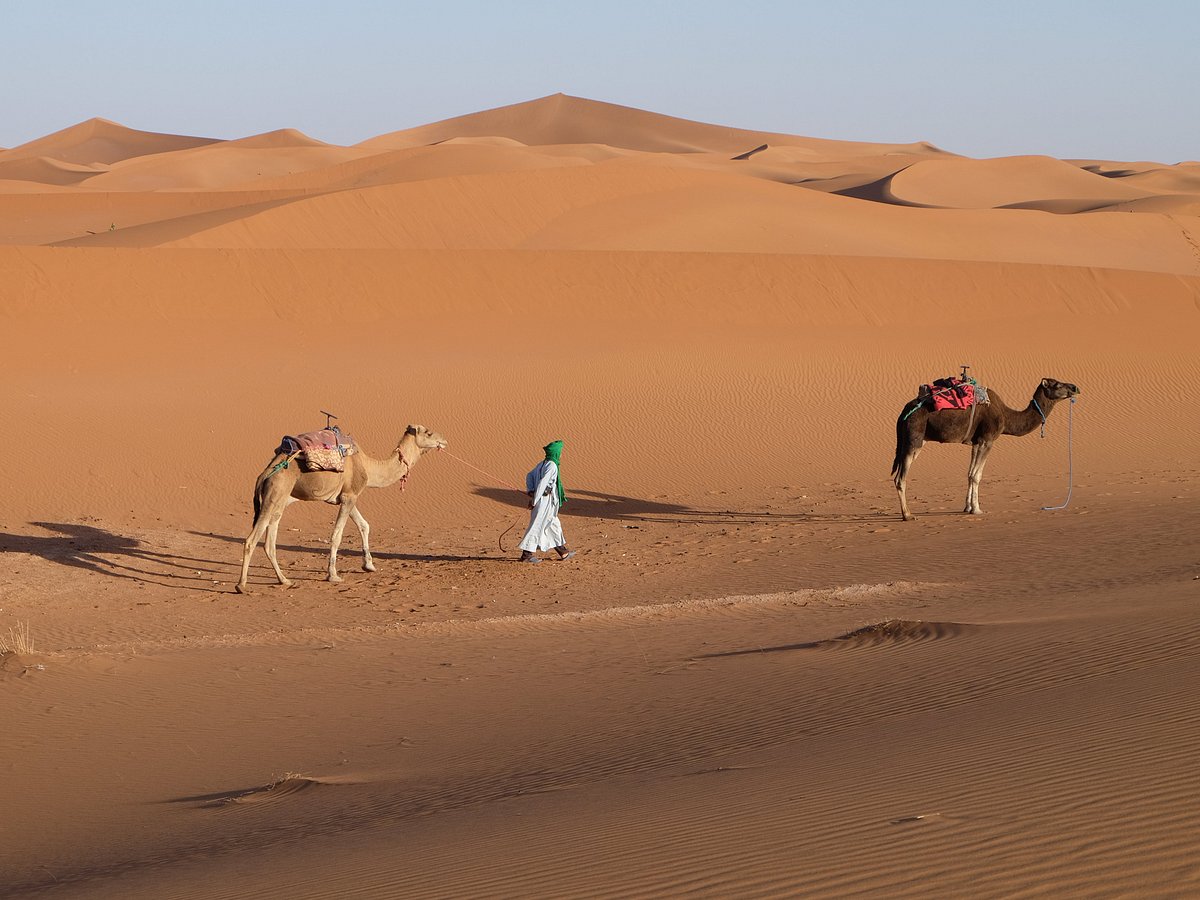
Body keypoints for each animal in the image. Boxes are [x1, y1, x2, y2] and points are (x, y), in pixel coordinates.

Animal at [234, 427, 446, 595]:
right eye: (428, 432)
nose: (444, 440)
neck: (368, 466)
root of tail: (264, 474)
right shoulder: (349, 497)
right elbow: (337, 535)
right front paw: (333, 575)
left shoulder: (345, 497)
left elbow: (364, 525)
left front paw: (369, 565)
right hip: (274, 493)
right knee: (251, 540)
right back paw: (241, 585)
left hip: (280, 500)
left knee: (270, 542)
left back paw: (284, 580)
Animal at [892, 379, 1080, 520]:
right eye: (1057, 385)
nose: (1075, 387)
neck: (1006, 416)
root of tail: (903, 413)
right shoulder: (987, 440)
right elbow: (977, 476)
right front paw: (977, 509)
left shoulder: (976, 442)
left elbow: (969, 474)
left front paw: (967, 507)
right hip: (914, 439)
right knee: (900, 478)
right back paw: (908, 515)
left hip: (910, 440)